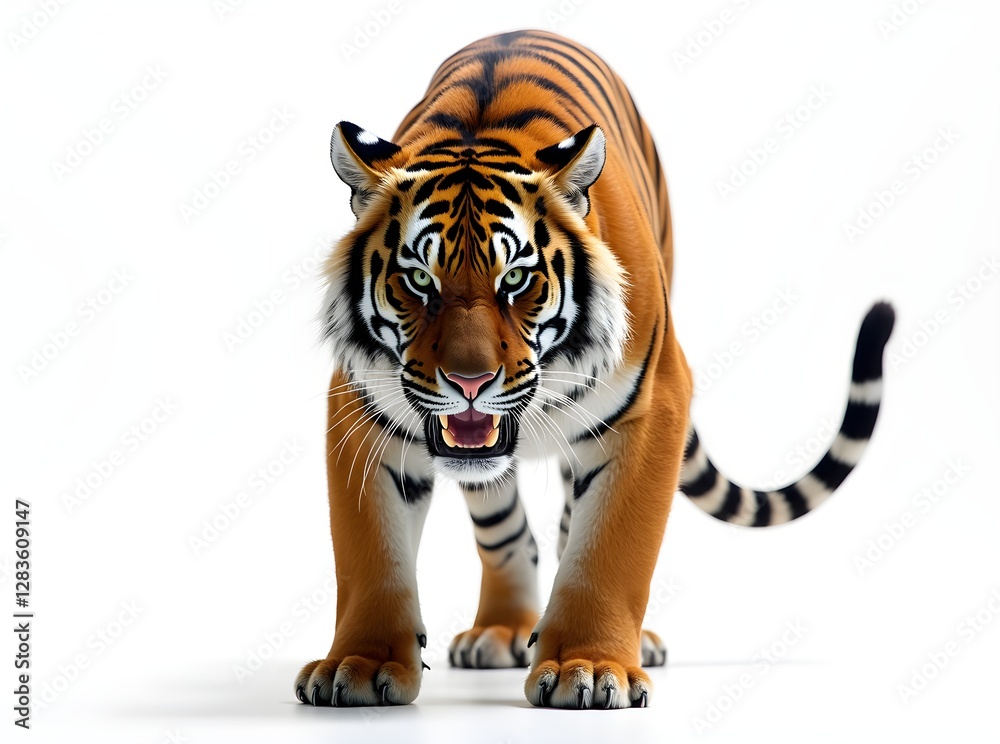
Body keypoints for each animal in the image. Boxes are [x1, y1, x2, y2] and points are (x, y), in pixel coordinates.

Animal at [295, 29, 895, 709]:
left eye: (516, 279)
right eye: (419, 280)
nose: (469, 382)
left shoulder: (654, 406)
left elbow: (610, 550)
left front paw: (590, 664)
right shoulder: (360, 408)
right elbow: (369, 555)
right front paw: (359, 664)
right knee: (507, 532)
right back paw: (505, 629)